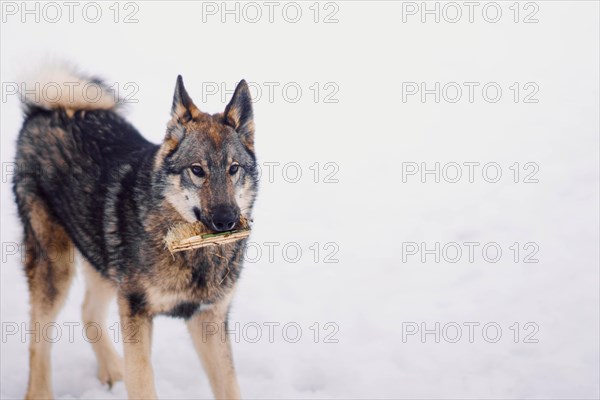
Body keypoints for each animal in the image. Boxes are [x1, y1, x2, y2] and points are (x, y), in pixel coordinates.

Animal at [12, 66, 258, 400]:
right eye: (197, 170)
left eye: (234, 169)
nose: (226, 221)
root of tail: (51, 109)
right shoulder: (136, 309)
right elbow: (142, 380)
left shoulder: (208, 318)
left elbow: (229, 386)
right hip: (56, 268)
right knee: (39, 340)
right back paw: (40, 392)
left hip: (103, 259)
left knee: (88, 312)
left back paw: (112, 371)